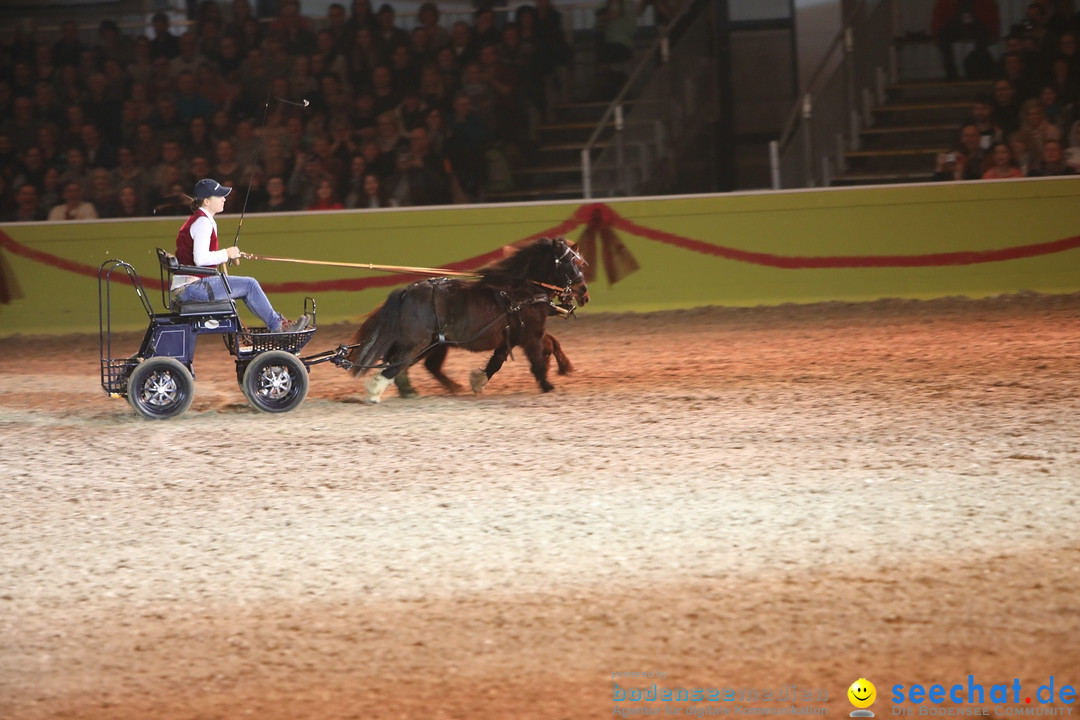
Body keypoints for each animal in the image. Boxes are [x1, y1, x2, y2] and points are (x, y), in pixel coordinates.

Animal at [347, 237, 591, 403]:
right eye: (570, 264)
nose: (583, 293)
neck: (521, 291)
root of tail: (407, 291)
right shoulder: (531, 335)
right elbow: (538, 360)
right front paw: (548, 385)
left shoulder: (514, 337)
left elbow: (499, 361)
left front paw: (478, 381)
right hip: (419, 343)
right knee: (396, 364)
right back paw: (376, 393)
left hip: (426, 344)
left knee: (403, 364)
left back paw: (411, 391)